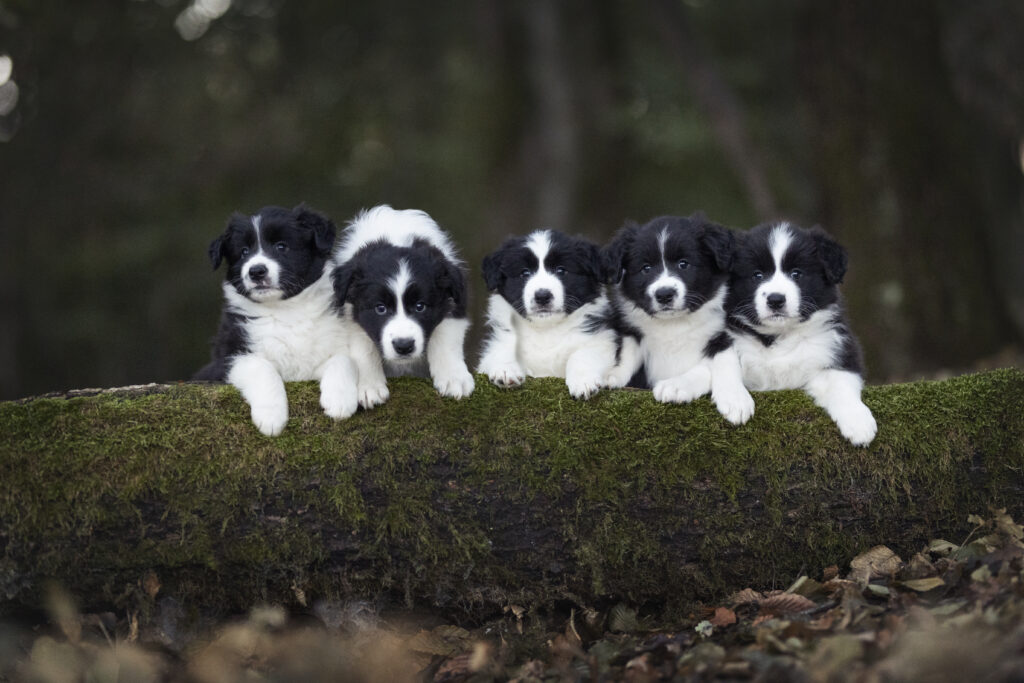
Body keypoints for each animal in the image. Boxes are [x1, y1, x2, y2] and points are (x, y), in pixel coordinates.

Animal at [194, 205, 360, 436]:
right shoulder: (226, 359)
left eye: (281, 246)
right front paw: (271, 417)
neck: (285, 310)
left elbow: (343, 360)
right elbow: (262, 367)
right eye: (244, 252)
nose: (256, 271)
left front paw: (339, 401)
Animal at [329, 205, 473, 403]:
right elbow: (362, 346)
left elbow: (446, 338)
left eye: (420, 306)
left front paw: (454, 378)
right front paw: (369, 386)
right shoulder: (348, 312)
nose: (404, 346)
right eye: (380, 308)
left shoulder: (454, 304)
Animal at [475, 231, 618, 401]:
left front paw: (583, 382)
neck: (545, 329)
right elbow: (501, 349)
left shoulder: (600, 341)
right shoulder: (498, 340)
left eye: (561, 270)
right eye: (524, 273)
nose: (542, 296)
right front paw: (505, 370)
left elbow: (582, 355)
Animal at [598, 216, 753, 423]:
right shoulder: (632, 330)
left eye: (683, 264)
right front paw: (611, 374)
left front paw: (735, 400)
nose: (664, 294)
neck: (673, 324)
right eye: (646, 268)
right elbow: (627, 353)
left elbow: (722, 361)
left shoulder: (725, 332)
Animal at [724, 222, 876, 446]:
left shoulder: (837, 350)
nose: (775, 299)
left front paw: (859, 423)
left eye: (796, 274)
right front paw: (735, 401)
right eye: (757, 275)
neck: (779, 335)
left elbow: (841, 382)